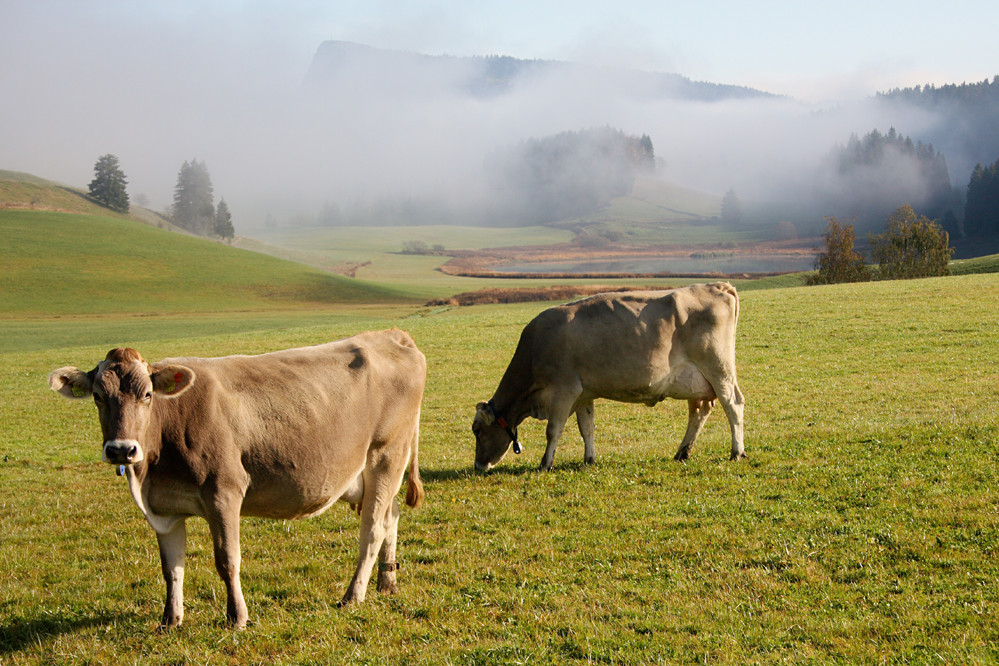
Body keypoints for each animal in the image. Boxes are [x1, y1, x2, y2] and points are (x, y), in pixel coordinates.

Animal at [50, 328, 426, 628]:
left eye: (147, 395)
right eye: (98, 396)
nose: (121, 450)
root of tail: (391, 334)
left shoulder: (224, 492)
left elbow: (227, 560)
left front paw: (238, 617)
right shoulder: (164, 509)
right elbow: (171, 567)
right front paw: (170, 620)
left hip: (386, 455)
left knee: (373, 528)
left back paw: (353, 594)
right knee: (390, 516)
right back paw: (386, 582)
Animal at [472, 282, 748, 470]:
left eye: (477, 430)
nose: (478, 466)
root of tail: (716, 286)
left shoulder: (564, 390)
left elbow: (553, 430)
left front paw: (545, 464)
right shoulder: (583, 393)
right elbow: (587, 428)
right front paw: (589, 459)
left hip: (719, 369)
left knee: (733, 405)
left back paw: (737, 452)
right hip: (695, 382)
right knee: (699, 412)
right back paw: (682, 452)